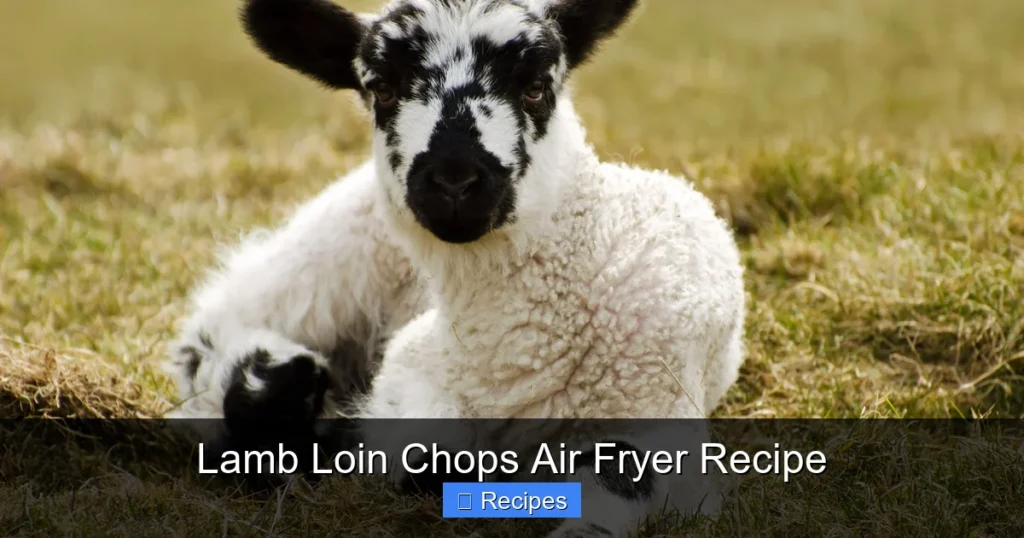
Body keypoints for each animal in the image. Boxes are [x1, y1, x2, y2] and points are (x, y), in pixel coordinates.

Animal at [166, 0, 746, 535]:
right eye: (381, 89)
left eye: (536, 86)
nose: (453, 179)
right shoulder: (412, 373)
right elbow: (427, 455)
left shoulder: (664, 421)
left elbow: (622, 479)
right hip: (330, 254)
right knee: (214, 332)